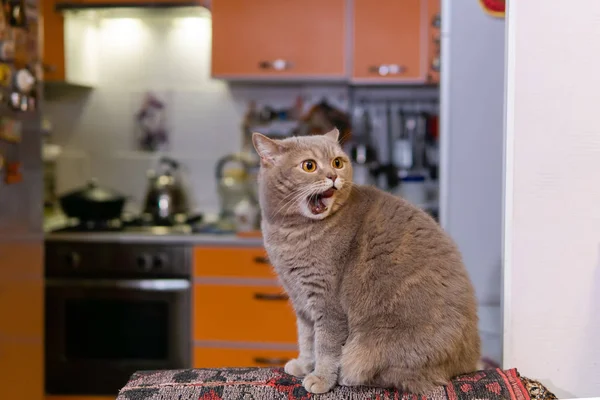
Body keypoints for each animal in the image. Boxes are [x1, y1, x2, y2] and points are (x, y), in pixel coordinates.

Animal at [251, 128, 480, 394]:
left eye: (337, 162)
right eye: (309, 166)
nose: (332, 176)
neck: (291, 233)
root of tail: (468, 362)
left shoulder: (327, 303)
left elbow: (325, 345)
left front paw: (320, 378)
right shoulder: (301, 300)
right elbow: (306, 338)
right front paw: (304, 365)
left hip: (379, 344)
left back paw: (347, 377)